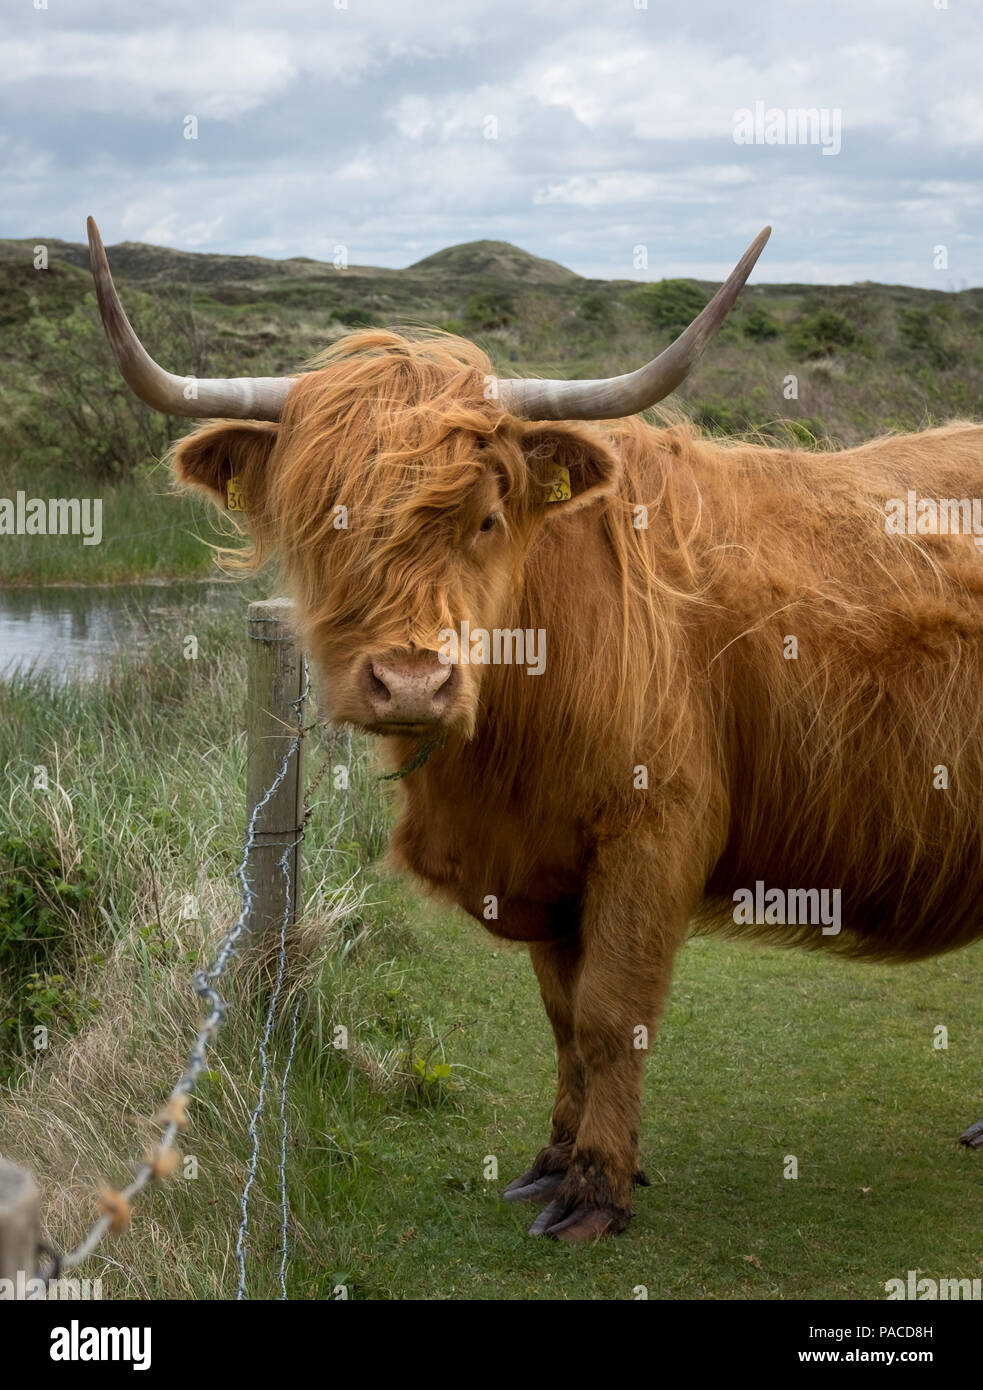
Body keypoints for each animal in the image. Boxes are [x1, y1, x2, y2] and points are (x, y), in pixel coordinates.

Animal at [86, 217, 983, 1241]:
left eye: (484, 518)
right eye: (326, 522)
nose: (411, 681)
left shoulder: (653, 832)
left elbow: (608, 1013)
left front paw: (596, 1188)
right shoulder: (546, 863)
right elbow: (563, 1017)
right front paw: (553, 1158)